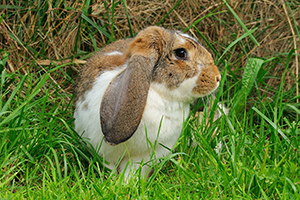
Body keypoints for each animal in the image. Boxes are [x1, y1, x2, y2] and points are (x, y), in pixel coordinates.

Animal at [74, 25, 221, 179]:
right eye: (181, 53)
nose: (217, 77)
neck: (158, 92)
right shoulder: (103, 152)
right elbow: (110, 168)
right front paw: (114, 182)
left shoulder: (146, 155)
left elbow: (133, 171)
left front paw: (128, 183)